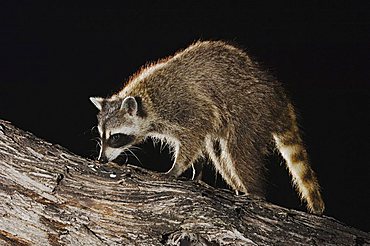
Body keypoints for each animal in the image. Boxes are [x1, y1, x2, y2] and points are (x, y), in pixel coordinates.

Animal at [91, 40, 326, 213]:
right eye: (102, 136)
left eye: (115, 137)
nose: (101, 159)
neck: (146, 101)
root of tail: (280, 99)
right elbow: (200, 145)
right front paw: (197, 172)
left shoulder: (186, 106)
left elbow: (194, 136)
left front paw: (175, 169)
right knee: (220, 154)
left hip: (251, 112)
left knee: (239, 153)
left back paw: (254, 192)